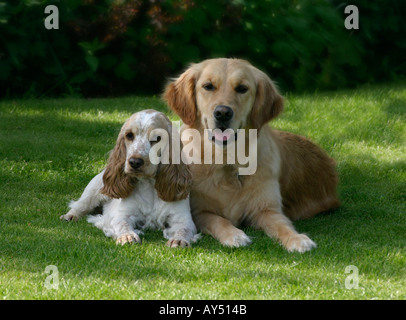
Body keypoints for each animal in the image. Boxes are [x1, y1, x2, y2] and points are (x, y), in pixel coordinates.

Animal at [163, 58, 340, 252]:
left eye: (242, 88)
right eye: (208, 86)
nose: (223, 113)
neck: (227, 159)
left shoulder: (266, 209)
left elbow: (282, 225)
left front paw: (297, 239)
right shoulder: (199, 211)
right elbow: (219, 220)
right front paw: (234, 235)